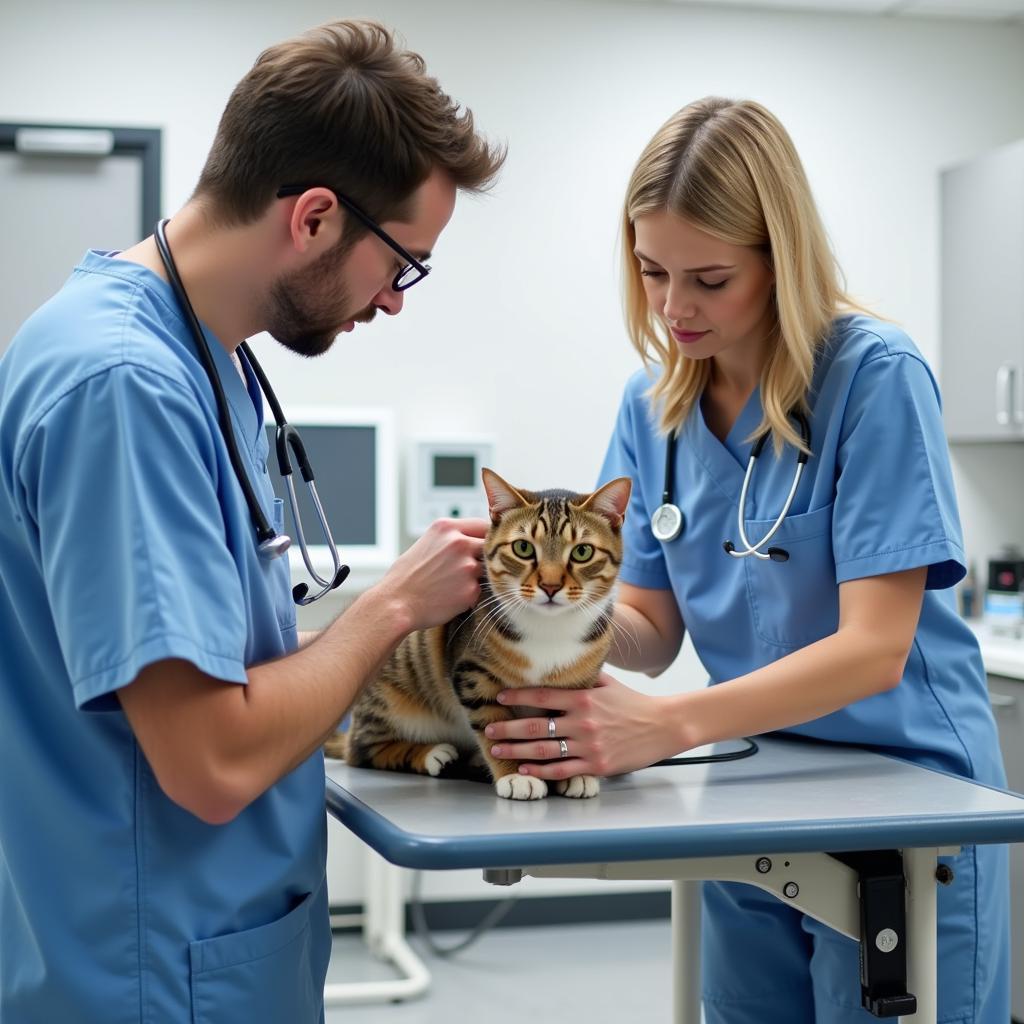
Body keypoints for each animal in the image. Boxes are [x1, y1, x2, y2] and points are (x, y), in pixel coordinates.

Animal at [327, 468, 630, 798]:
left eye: (582, 551)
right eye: (523, 547)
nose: (550, 586)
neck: (549, 628)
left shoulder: (576, 689)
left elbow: (566, 727)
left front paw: (576, 772)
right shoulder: (473, 674)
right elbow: (493, 728)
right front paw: (515, 775)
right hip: (391, 696)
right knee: (363, 750)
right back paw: (433, 755)